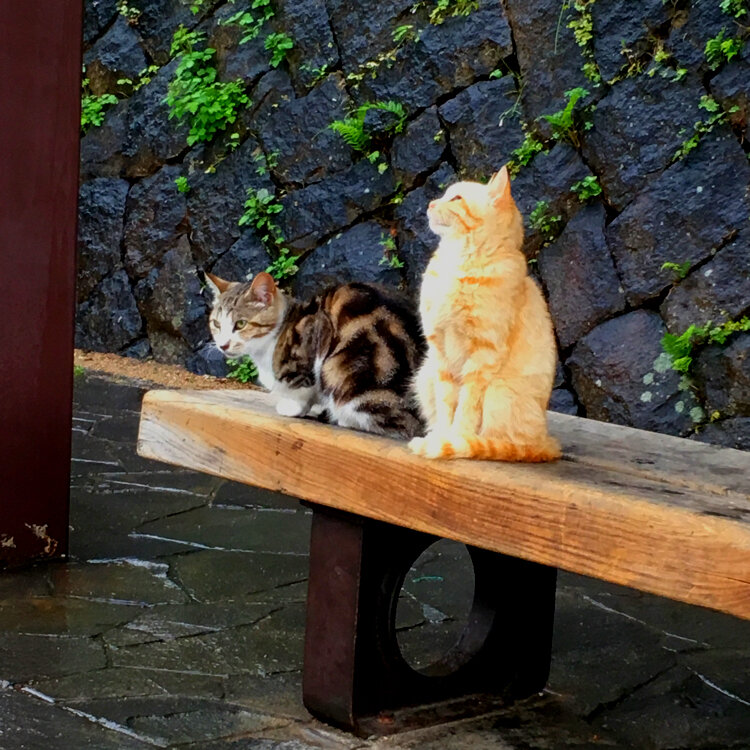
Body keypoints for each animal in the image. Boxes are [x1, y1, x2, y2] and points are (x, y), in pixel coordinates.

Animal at [206, 274, 426, 440]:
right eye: (216, 324)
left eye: (241, 324)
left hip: (342, 372)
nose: (223, 345)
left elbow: (302, 389)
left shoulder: (313, 343)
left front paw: (292, 407)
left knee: (402, 426)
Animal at [412, 169, 564, 464]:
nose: (431, 204)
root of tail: (548, 443)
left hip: (498, 390)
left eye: (456, 198)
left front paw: (455, 440)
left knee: (501, 444)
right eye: (445, 195)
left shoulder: (484, 354)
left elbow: (466, 408)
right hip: (424, 375)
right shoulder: (439, 352)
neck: (459, 262)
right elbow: (447, 403)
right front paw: (442, 436)